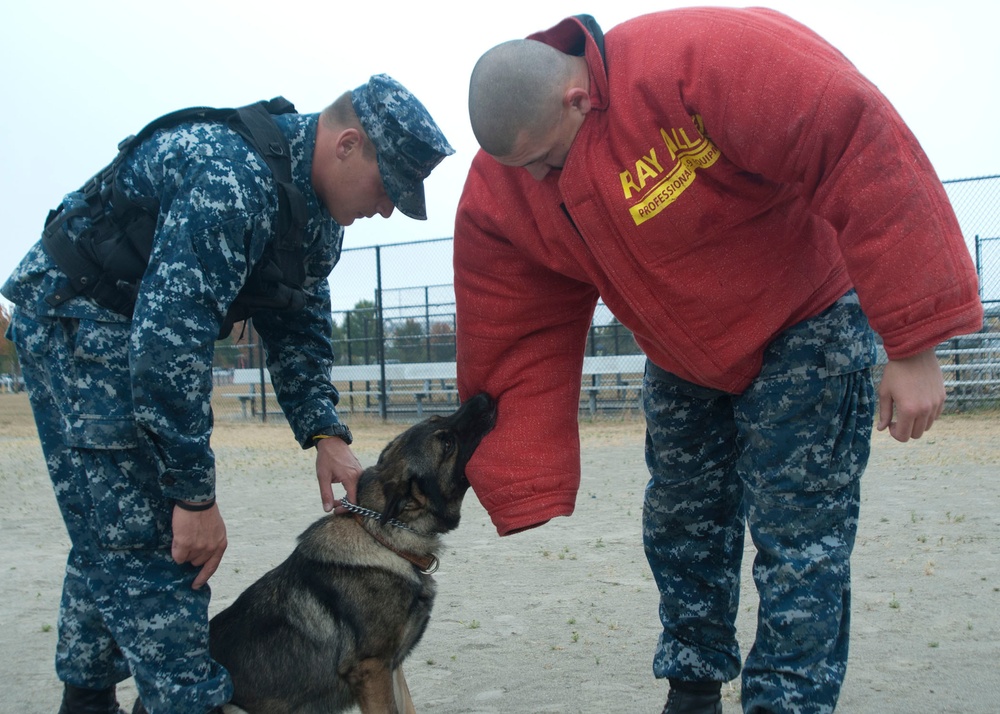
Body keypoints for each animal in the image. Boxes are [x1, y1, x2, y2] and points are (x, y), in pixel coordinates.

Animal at [210, 392, 496, 708]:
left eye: (439, 418)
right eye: (447, 444)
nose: (483, 397)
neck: (385, 541)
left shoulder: (391, 667)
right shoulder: (372, 669)